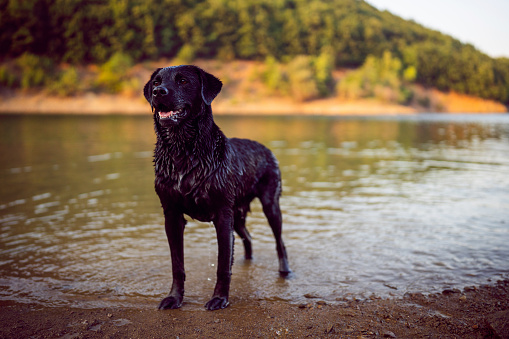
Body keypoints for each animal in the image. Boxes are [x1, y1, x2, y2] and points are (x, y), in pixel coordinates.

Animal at [143, 65, 290, 312]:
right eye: (156, 82)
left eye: (183, 81)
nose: (158, 92)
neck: (183, 153)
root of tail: (265, 147)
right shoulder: (171, 215)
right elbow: (177, 265)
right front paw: (174, 298)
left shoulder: (222, 215)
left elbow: (222, 265)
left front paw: (219, 299)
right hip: (237, 216)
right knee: (248, 238)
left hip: (270, 204)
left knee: (280, 242)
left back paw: (285, 271)